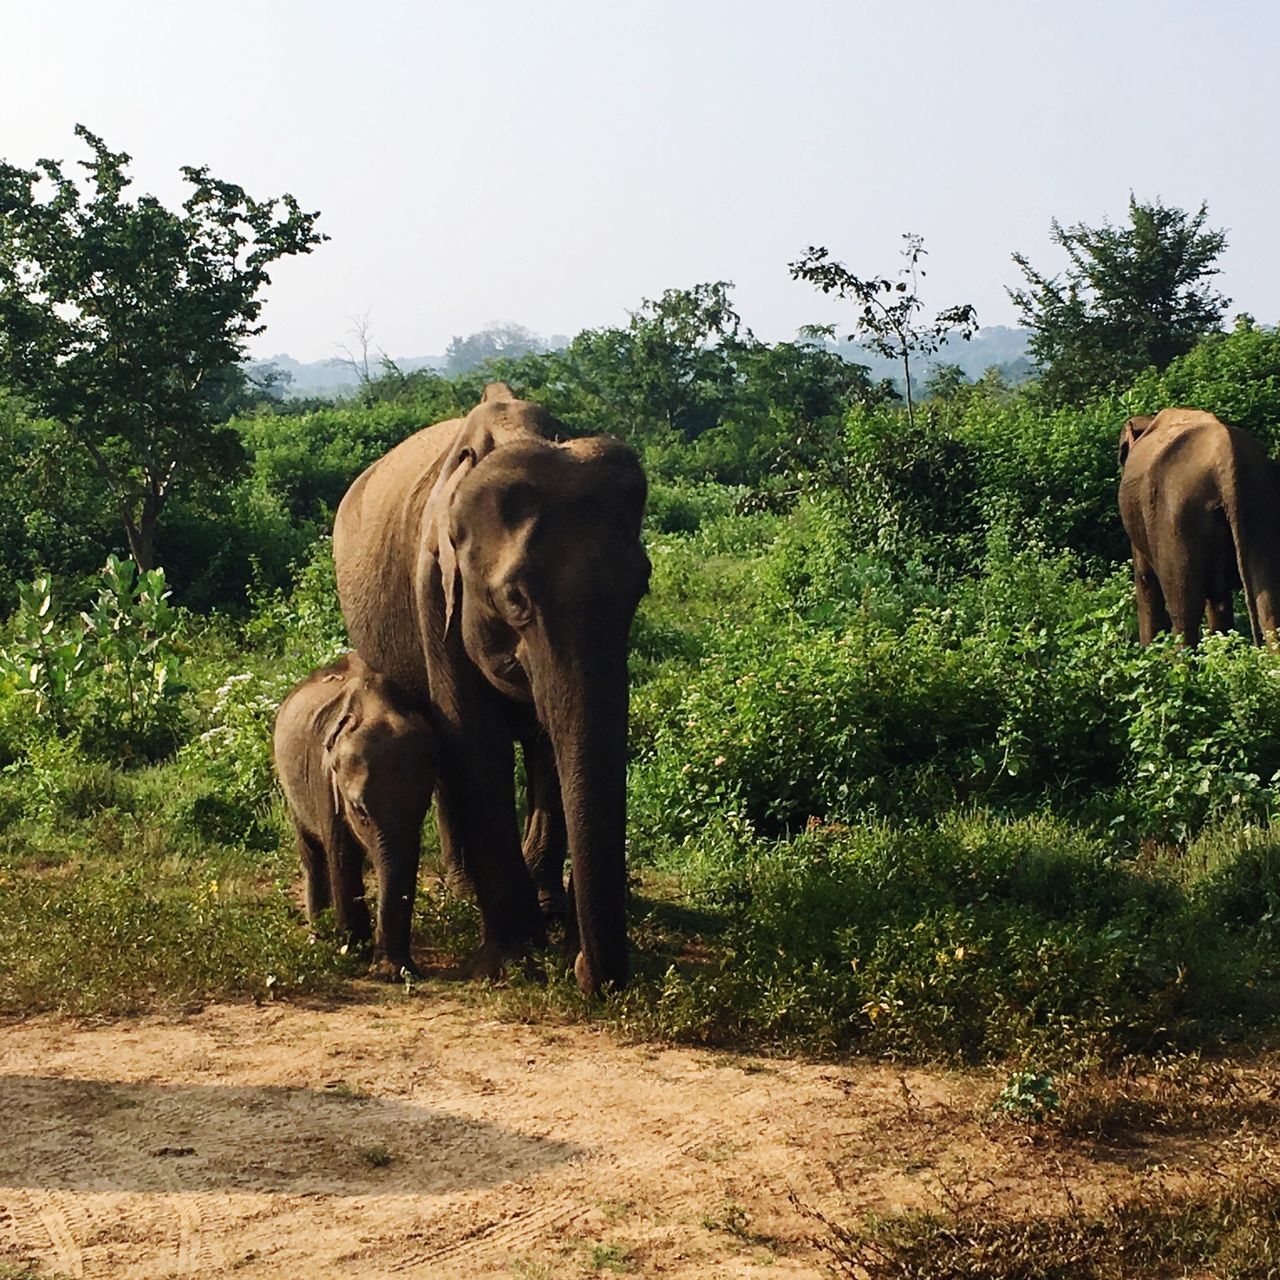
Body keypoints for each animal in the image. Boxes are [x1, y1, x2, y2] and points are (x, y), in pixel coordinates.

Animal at [272, 655, 437, 972]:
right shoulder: (325, 778)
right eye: (360, 810)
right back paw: (319, 937)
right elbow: (342, 855)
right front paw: (352, 952)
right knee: (313, 853)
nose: (390, 970)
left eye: (423, 807)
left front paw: (396, 967)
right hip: (292, 791)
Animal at [332, 381, 650, 998]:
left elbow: (551, 742)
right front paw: (513, 956)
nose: (585, 970)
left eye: (640, 588)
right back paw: (462, 887)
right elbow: (473, 739)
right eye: (514, 599)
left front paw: (548, 917)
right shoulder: (432, 588)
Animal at [1116, 409, 1280, 645]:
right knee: (1268, 605)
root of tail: (1226, 462)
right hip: (1260, 505)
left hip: (1175, 519)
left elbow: (1145, 579)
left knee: (1184, 612)